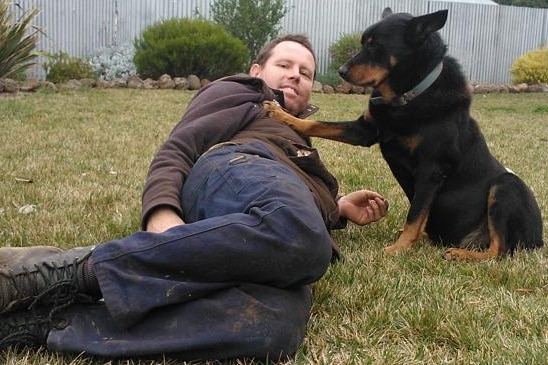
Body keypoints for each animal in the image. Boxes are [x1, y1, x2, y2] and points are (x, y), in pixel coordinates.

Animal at [266, 7, 544, 258]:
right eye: (363, 42)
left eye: (375, 45)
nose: (341, 71)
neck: (406, 97)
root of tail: (538, 239)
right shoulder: (364, 130)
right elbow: (318, 124)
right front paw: (282, 115)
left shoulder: (431, 170)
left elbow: (415, 215)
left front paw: (397, 249)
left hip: (506, 186)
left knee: (499, 250)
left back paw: (459, 254)